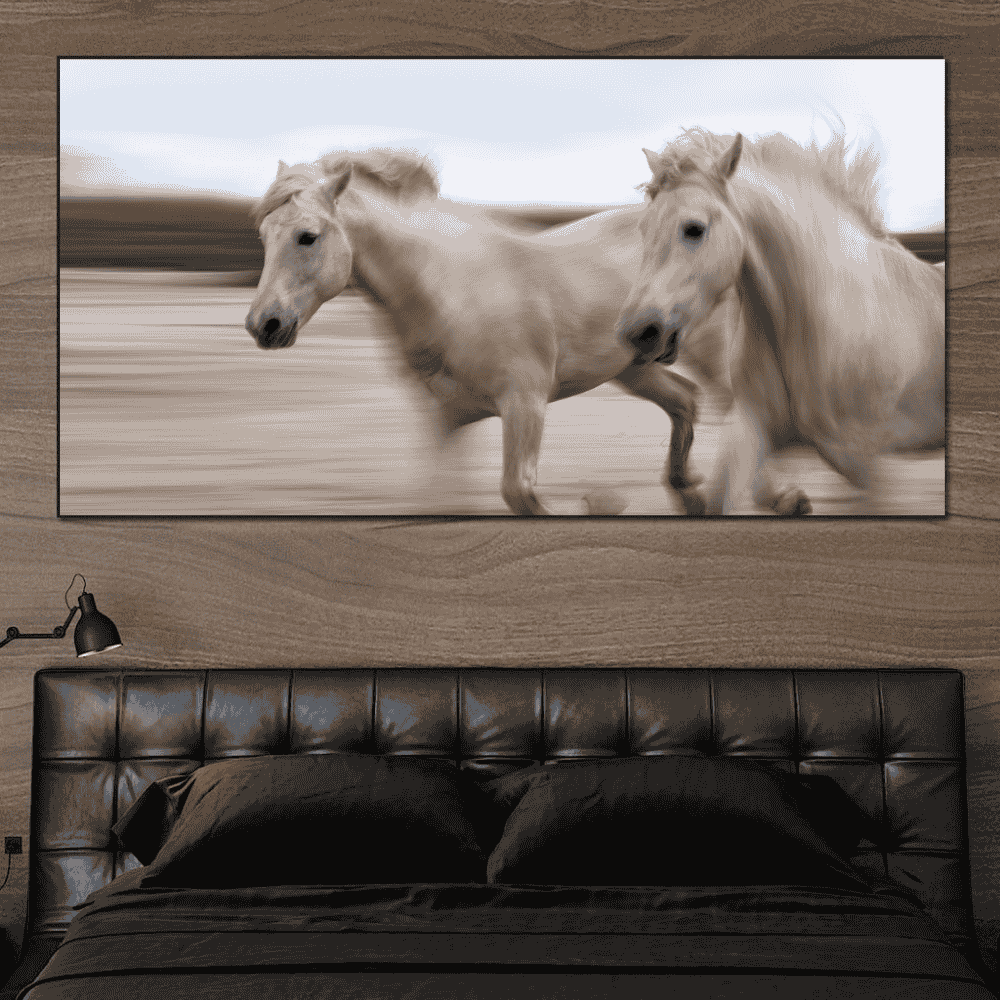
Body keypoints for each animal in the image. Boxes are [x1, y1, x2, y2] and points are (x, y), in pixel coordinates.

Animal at [244, 148, 734, 515]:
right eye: (264, 235)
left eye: (307, 236)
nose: (263, 325)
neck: (447, 292)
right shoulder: (445, 419)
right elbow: (434, 500)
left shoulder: (524, 403)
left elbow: (519, 493)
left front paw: (596, 504)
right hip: (634, 367)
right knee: (685, 400)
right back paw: (689, 495)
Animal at [616, 127, 945, 515]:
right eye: (644, 228)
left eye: (693, 229)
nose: (637, 332)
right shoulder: (750, 432)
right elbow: (720, 499)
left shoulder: (866, 462)